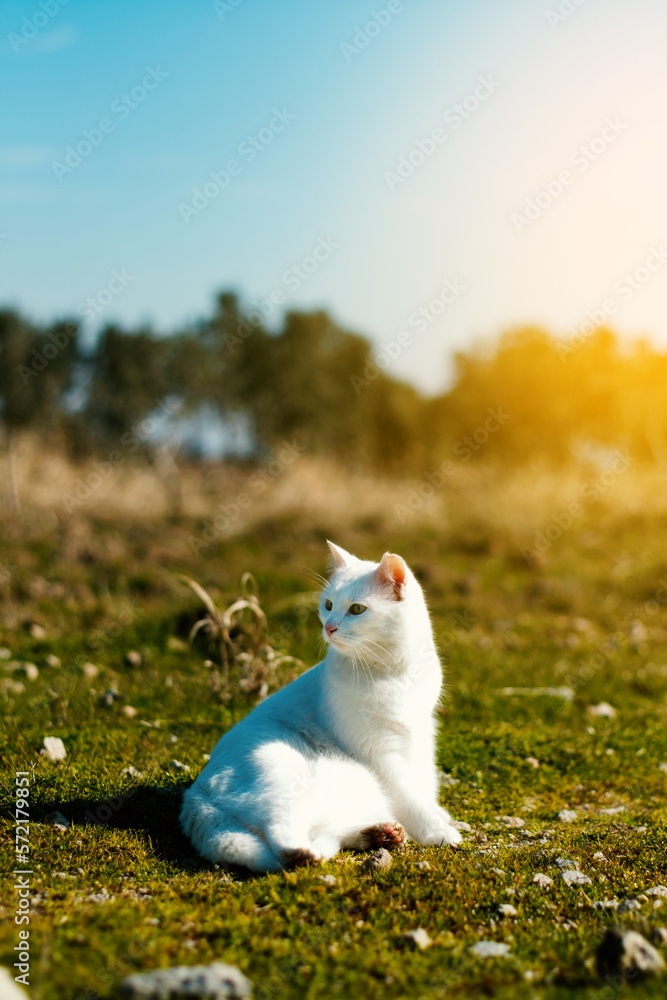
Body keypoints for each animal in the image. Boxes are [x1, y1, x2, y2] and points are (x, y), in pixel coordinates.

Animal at [183, 536, 464, 872]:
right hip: (281, 778)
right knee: (280, 836)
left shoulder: (421, 733)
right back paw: (307, 854)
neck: (394, 672)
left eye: (357, 609)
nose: (329, 627)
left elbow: (423, 782)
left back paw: (381, 834)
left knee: (329, 833)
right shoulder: (380, 753)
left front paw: (439, 815)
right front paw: (437, 831)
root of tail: (195, 796)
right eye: (328, 604)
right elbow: (410, 797)